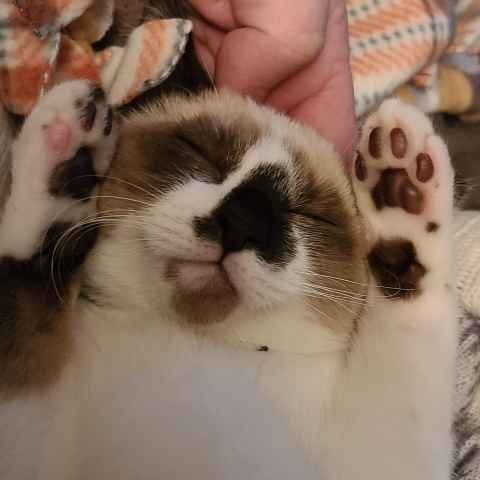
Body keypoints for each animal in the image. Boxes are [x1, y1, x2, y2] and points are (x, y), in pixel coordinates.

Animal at [0, 5, 456, 480]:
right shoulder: (28, 450)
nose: (243, 221)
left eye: (312, 215)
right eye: (201, 154)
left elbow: (412, 314)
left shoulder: (373, 462)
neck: (197, 344)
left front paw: (399, 190)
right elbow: (24, 289)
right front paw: (64, 165)